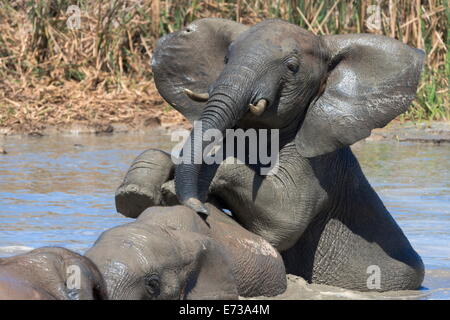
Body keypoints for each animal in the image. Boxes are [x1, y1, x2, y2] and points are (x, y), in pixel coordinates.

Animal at [116, 18, 426, 292]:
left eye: (292, 67)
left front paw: (175, 188)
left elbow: (284, 221)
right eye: (226, 59)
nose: (200, 210)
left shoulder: (319, 165)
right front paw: (138, 192)